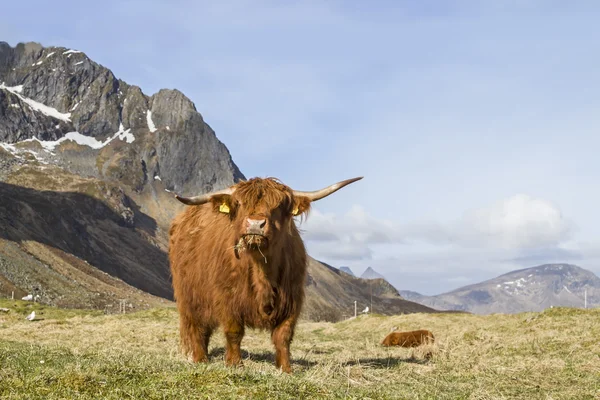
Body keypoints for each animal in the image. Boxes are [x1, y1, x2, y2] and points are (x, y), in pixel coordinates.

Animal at [169, 175, 360, 372]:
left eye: (279, 205)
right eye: (239, 203)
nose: (255, 224)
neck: (262, 270)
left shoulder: (292, 298)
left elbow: (284, 335)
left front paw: (286, 368)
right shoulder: (227, 296)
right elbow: (234, 331)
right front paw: (235, 364)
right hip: (190, 296)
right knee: (197, 328)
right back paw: (200, 359)